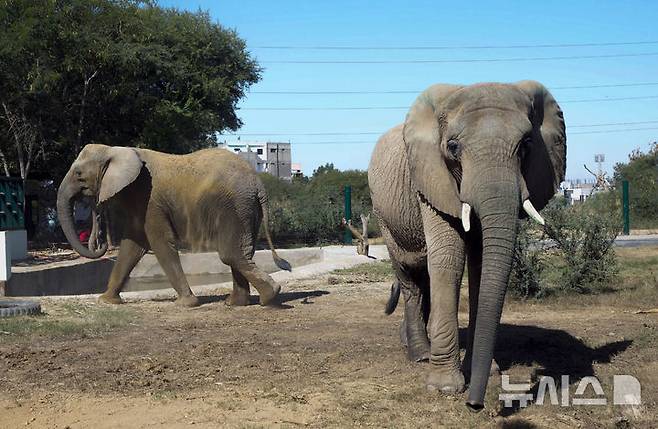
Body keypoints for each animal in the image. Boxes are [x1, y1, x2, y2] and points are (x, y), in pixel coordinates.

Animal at [56, 145, 290, 306]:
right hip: (246, 209)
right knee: (241, 252)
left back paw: (270, 296)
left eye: (78, 174)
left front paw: (186, 304)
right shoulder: (139, 202)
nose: (99, 242)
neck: (116, 149)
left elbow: (159, 243)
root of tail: (258, 184)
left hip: (235, 207)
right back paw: (236, 303)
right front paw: (107, 301)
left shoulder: (151, 200)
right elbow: (133, 245)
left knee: (230, 253)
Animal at [368, 81, 564, 412]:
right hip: (383, 215)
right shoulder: (431, 179)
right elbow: (449, 257)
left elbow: (481, 262)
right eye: (453, 147)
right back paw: (420, 354)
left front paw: (488, 371)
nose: (475, 404)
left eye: (526, 144)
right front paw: (445, 387)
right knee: (410, 277)